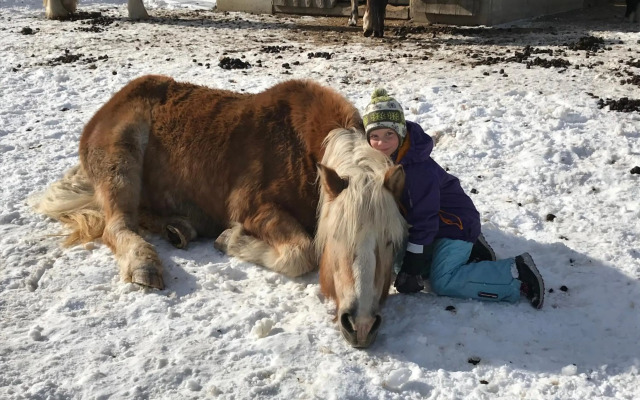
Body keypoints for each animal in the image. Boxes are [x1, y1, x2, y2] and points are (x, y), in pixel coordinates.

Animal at [32, 76, 407, 348]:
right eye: (336, 239)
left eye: (391, 243)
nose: (361, 325)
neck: (301, 152)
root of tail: (108, 106)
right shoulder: (254, 209)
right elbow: (301, 253)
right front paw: (230, 239)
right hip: (121, 160)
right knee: (118, 224)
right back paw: (144, 262)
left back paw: (179, 228)